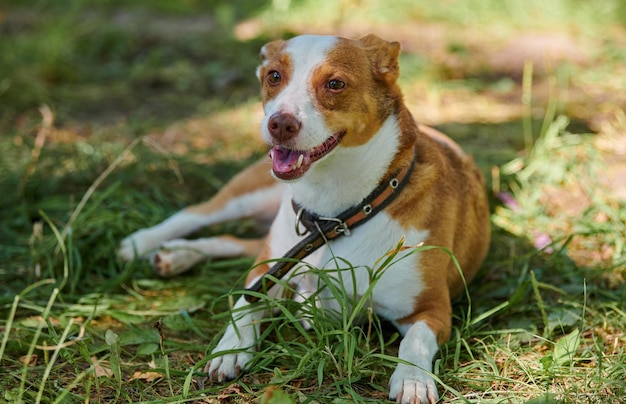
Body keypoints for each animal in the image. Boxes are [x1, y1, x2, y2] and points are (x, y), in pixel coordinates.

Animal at [117, 34, 488, 400]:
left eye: (336, 84)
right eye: (274, 76)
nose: (280, 123)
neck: (334, 215)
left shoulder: (431, 309)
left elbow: (414, 342)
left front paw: (413, 378)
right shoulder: (267, 272)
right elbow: (245, 303)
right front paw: (232, 347)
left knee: (233, 241)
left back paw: (176, 255)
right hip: (251, 198)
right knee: (196, 214)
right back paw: (143, 243)